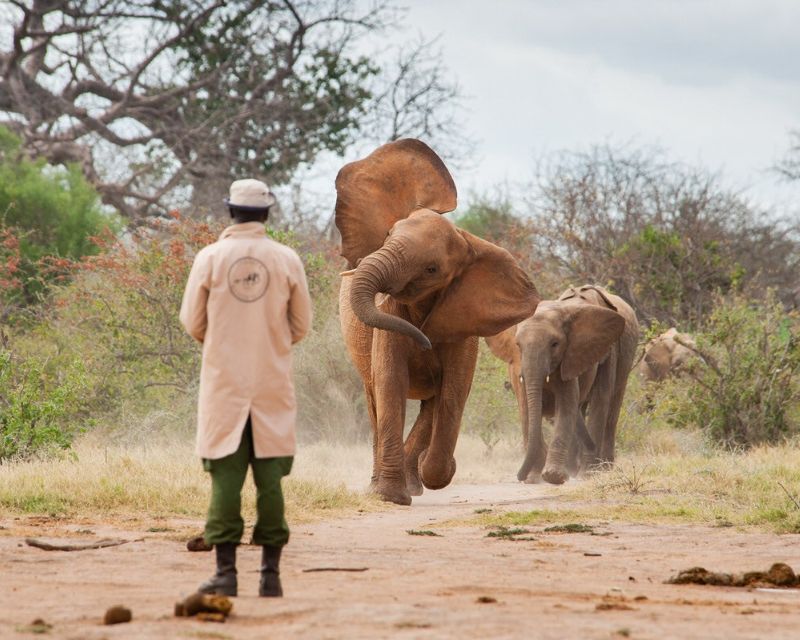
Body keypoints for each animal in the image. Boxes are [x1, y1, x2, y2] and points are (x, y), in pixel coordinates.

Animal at [336, 139, 540, 505]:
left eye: (432, 269)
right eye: (387, 235)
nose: (425, 340)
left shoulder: (465, 325)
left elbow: (453, 391)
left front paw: (434, 474)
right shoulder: (390, 314)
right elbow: (390, 382)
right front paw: (391, 497)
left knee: (431, 406)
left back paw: (415, 480)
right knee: (374, 401)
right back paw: (382, 485)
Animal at [486, 285, 639, 485]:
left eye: (555, 344)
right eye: (518, 345)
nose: (520, 477)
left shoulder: (602, 351)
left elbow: (575, 404)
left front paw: (559, 477)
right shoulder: (517, 366)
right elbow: (527, 409)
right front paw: (535, 478)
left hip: (624, 354)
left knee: (611, 408)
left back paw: (599, 469)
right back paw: (573, 469)